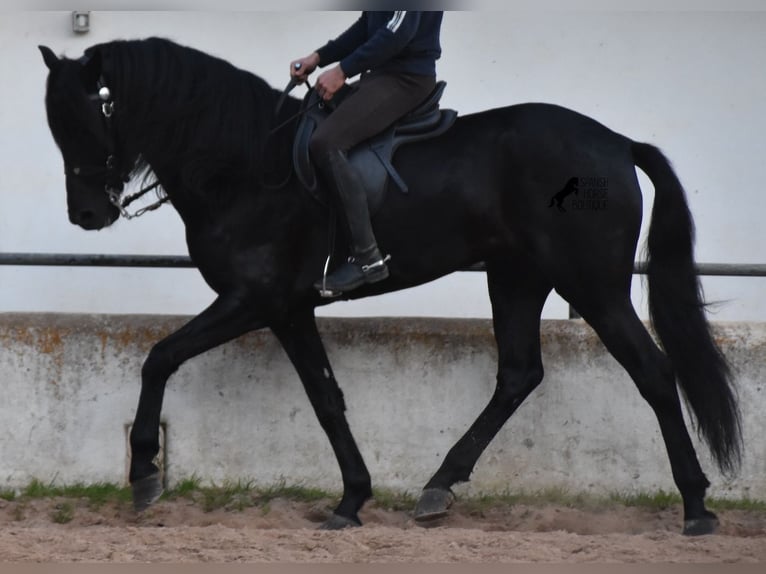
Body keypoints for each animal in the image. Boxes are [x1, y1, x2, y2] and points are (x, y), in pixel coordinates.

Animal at [39, 38, 740, 536]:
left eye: (90, 114)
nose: (86, 214)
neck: (242, 162)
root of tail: (617, 143)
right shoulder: (288, 309)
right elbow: (326, 399)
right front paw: (351, 499)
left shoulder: (253, 300)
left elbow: (159, 358)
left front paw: (142, 472)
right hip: (517, 277)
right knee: (518, 374)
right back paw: (438, 486)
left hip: (593, 285)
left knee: (652, 372)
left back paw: (696, 506)